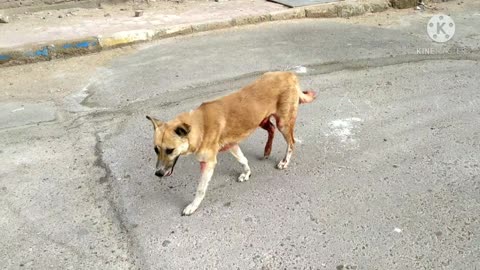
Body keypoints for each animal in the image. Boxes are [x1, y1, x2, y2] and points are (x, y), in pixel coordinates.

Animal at [148, 71, 316, 215]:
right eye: (156, 149)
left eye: (170, 150)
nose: (158, 173)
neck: (200, 125)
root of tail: (289, 74)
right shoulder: (232, 145)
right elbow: (243, 160)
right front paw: (247, 173)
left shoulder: (208, 163)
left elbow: (200, 189)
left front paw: (193, 206)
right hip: (260, 119)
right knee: (271, 129)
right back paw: (267, 150)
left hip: (283, 123)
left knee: (291, 142)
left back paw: (284, 161)